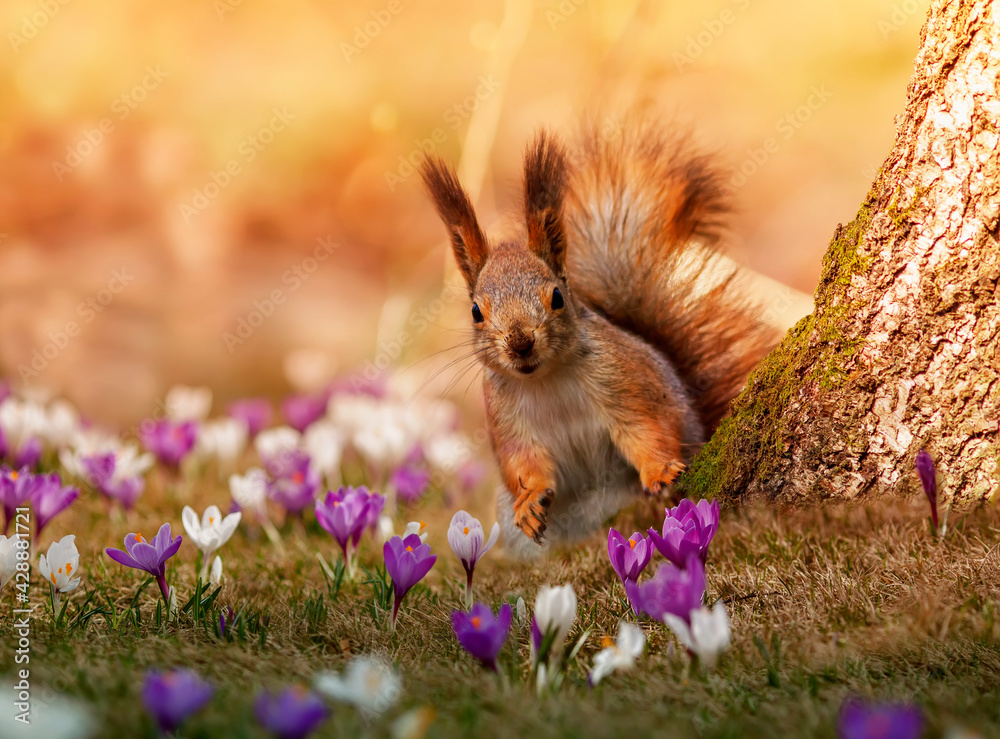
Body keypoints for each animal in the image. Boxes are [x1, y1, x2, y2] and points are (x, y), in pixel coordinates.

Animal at [418, 120, 776, 560]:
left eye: (556, 297)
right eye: (475, 312)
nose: (520, 342)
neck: (546, 378)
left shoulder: (624, 378)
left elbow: (647, 427)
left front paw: (659, 470)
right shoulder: (504, 417)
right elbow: (522, 461)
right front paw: (530, 501)